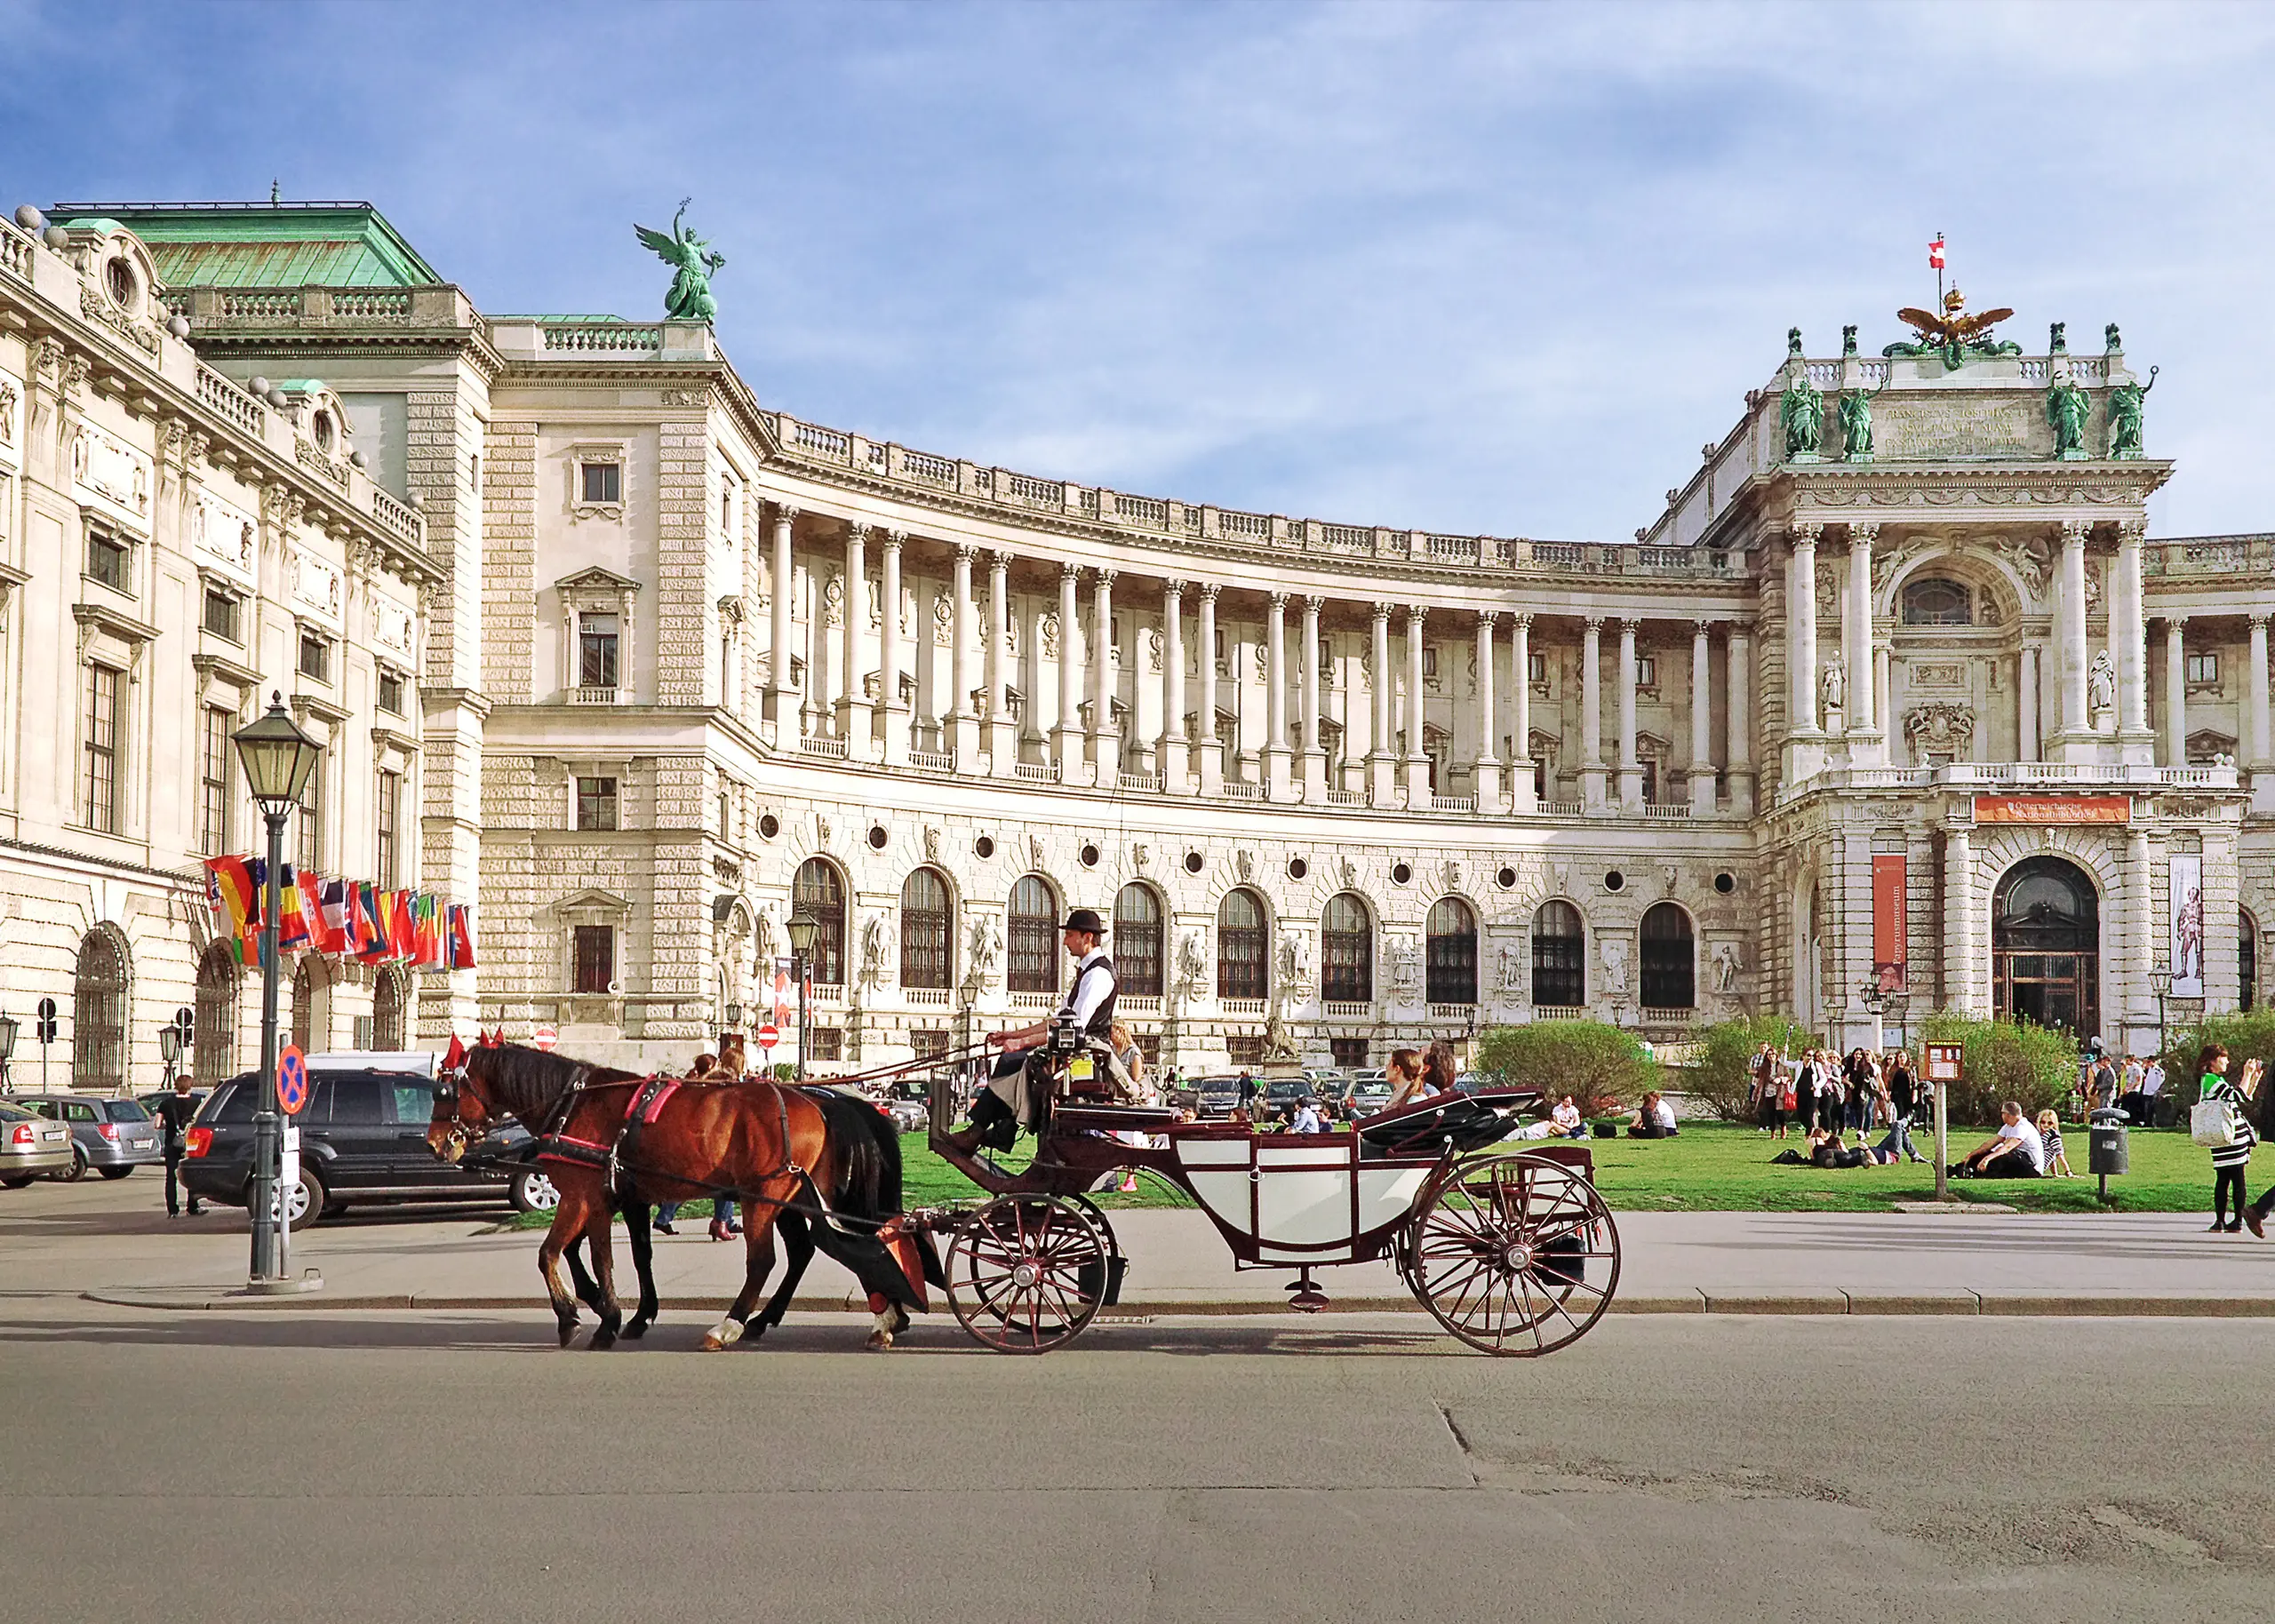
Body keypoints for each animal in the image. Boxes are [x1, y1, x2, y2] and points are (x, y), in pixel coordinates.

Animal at [427, 1037, 923, 1337]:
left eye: (444, 1092)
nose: (434, 1143)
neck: (577, 1103)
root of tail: (812, 1099)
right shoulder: (618, 1198)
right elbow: (619, 1254)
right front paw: (623, 1311)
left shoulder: (583, 1196)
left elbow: (556, 1252)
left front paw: (580, 1315)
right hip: (795, 1197)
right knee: (828, 1246)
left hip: (764, 1198)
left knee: (768, 1259)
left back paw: (733, 1324)